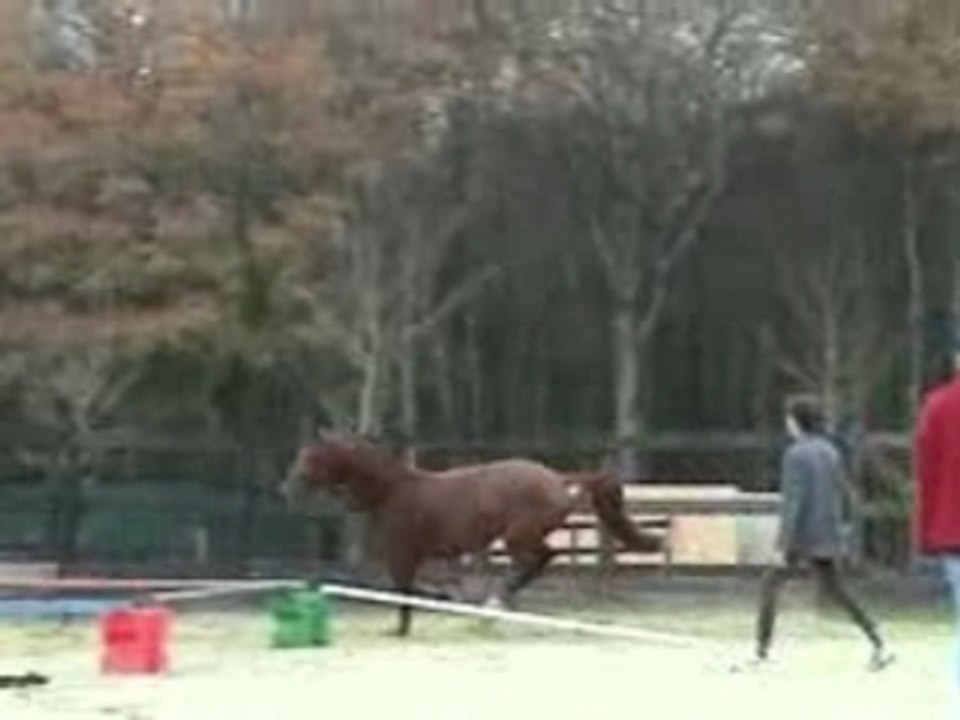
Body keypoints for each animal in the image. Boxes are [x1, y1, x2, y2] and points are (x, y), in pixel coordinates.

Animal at [280, 433, 664, 636]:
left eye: (311, 458)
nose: (286, 488)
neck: (393, 491)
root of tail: (556, 479)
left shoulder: (403, 553)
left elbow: (403, 590)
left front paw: (402, 628)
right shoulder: (432, 556)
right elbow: (428, 586)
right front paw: (445, 601)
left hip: (518, 535)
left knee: (539, 558)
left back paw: (498, 600)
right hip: (521, 536)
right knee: (540, 560)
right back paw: (499, 602)